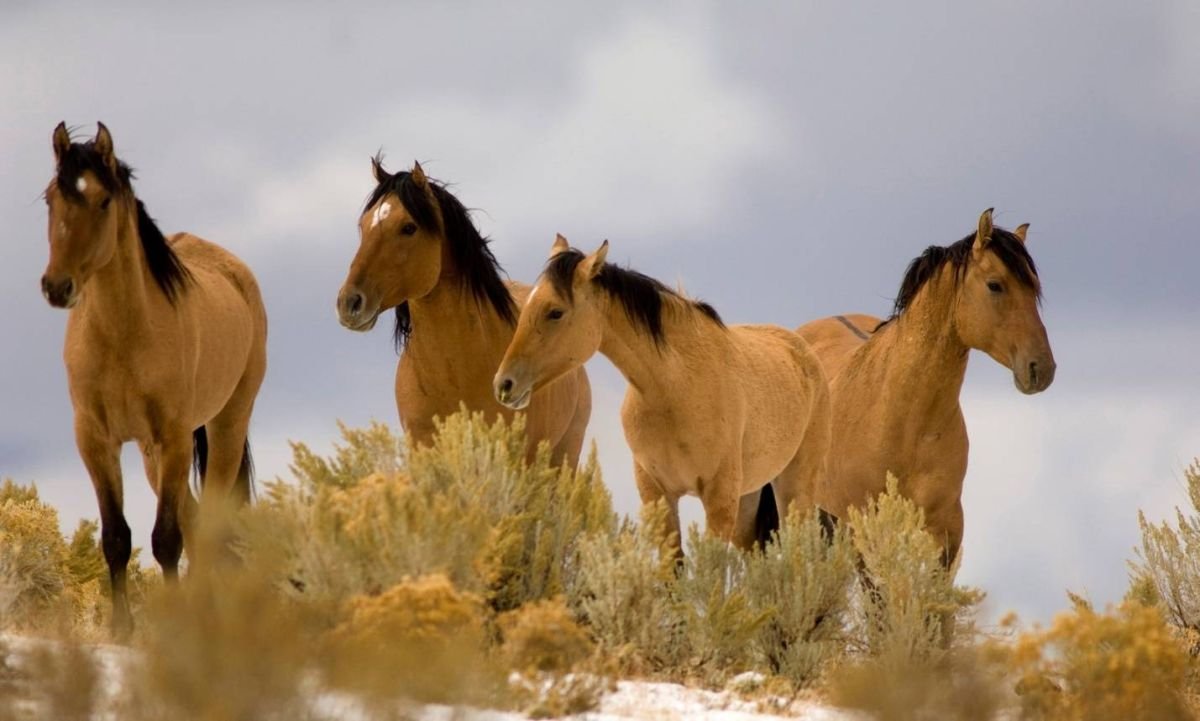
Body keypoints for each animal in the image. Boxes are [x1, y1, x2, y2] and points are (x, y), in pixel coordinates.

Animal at [42, 123, 270, 633]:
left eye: (103, 200)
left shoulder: (173, 435)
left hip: (224, 425)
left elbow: (166, 537)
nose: (57, 286)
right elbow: (116, 537)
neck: (124, 334)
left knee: (209, 525)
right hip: (151, 453)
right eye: (51, 197)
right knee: (196, 519)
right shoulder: (95, 440)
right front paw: (121, 628)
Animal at [492, 236, 830, 551]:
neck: (676, 388)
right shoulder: (658, 494)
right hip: (749, 498)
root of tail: (804, 353)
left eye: (555, 312)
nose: (504, 384)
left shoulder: (718, 499)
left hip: (793, 489)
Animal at [801, 209, 1056, 568]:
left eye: (1034, 288)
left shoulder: (946, 533)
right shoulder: (862, 532)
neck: (902, 420)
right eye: (995, 285)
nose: (1041, 368)